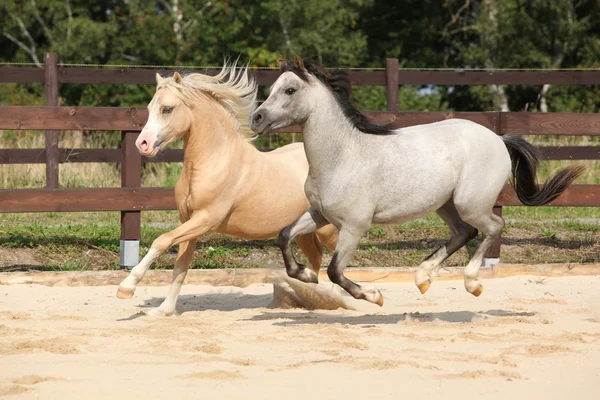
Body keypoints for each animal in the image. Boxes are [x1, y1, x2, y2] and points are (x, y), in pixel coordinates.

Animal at [116, 62, 338, 316]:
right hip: (303, 230)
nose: (142, 144)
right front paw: (164, 310)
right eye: (149, 107)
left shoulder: (205, 219)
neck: (214, 161)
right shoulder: (188, 221)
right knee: (316, 256)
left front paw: (126, 287)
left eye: (167, 109)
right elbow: (180, 267)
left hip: (329, 229)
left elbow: (161, 241)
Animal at [250, 57, 584, 306]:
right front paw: (306, 275)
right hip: (445, 204)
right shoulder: (319, 214)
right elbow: (284, 235)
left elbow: (334, 271)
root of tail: (499, 139)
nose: (256, 118)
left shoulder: (355, 226)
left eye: (290, 90)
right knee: (465, 232)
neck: (343, 156)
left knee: (492, 227)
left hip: (470, 203)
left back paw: (471, 283)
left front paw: (373, 295)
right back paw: (423, 278)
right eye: (274, 87)